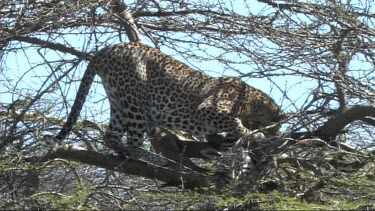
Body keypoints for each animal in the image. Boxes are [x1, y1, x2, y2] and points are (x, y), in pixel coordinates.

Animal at [46, 41, 282, 166]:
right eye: (276, 127)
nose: (276, 134)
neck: (252, 101)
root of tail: (110, 48)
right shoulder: (209, 109)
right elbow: (236, 124)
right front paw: (253, 134)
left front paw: (218, 142)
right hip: (134, 101)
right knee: (133, 142)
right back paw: (155, 159)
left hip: (118, 100)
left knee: (111, 135)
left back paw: (123, 152)